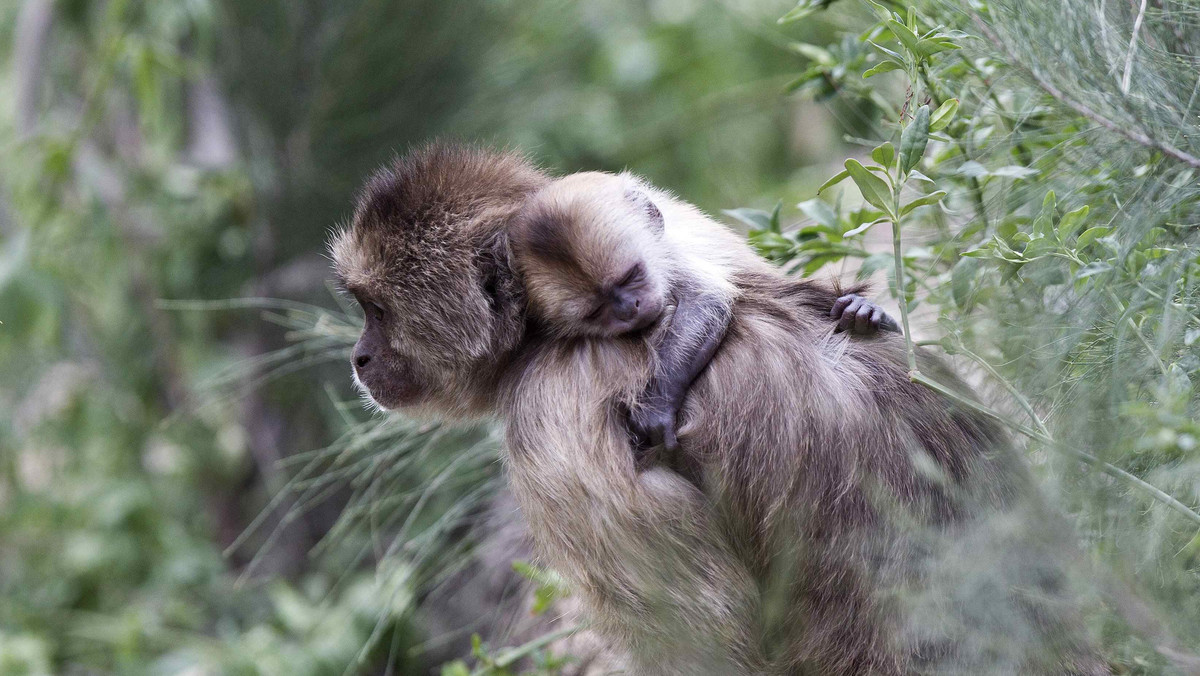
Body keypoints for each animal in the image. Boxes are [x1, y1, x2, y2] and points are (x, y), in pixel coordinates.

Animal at [511, 171, 897, 463]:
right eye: (597, 310)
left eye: (632, 276)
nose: (629, 308)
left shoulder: (669, 253)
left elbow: (706, 301)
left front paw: (657, 408)